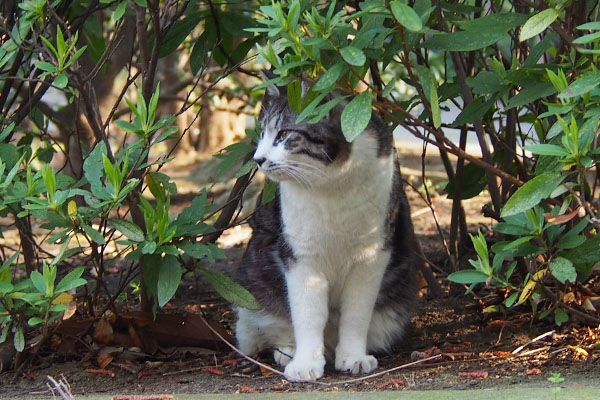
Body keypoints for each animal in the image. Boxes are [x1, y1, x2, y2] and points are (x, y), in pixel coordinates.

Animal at [234, 73, 422, 382]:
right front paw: (304, 363)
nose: (257, 159)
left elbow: (356, 313)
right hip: (254, 284)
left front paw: (354, 357)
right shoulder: (300, 256)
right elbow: (307, 314)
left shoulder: (372, 255)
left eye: (283, 135)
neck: (332, 180)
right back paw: (288, 351)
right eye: (262, 135)